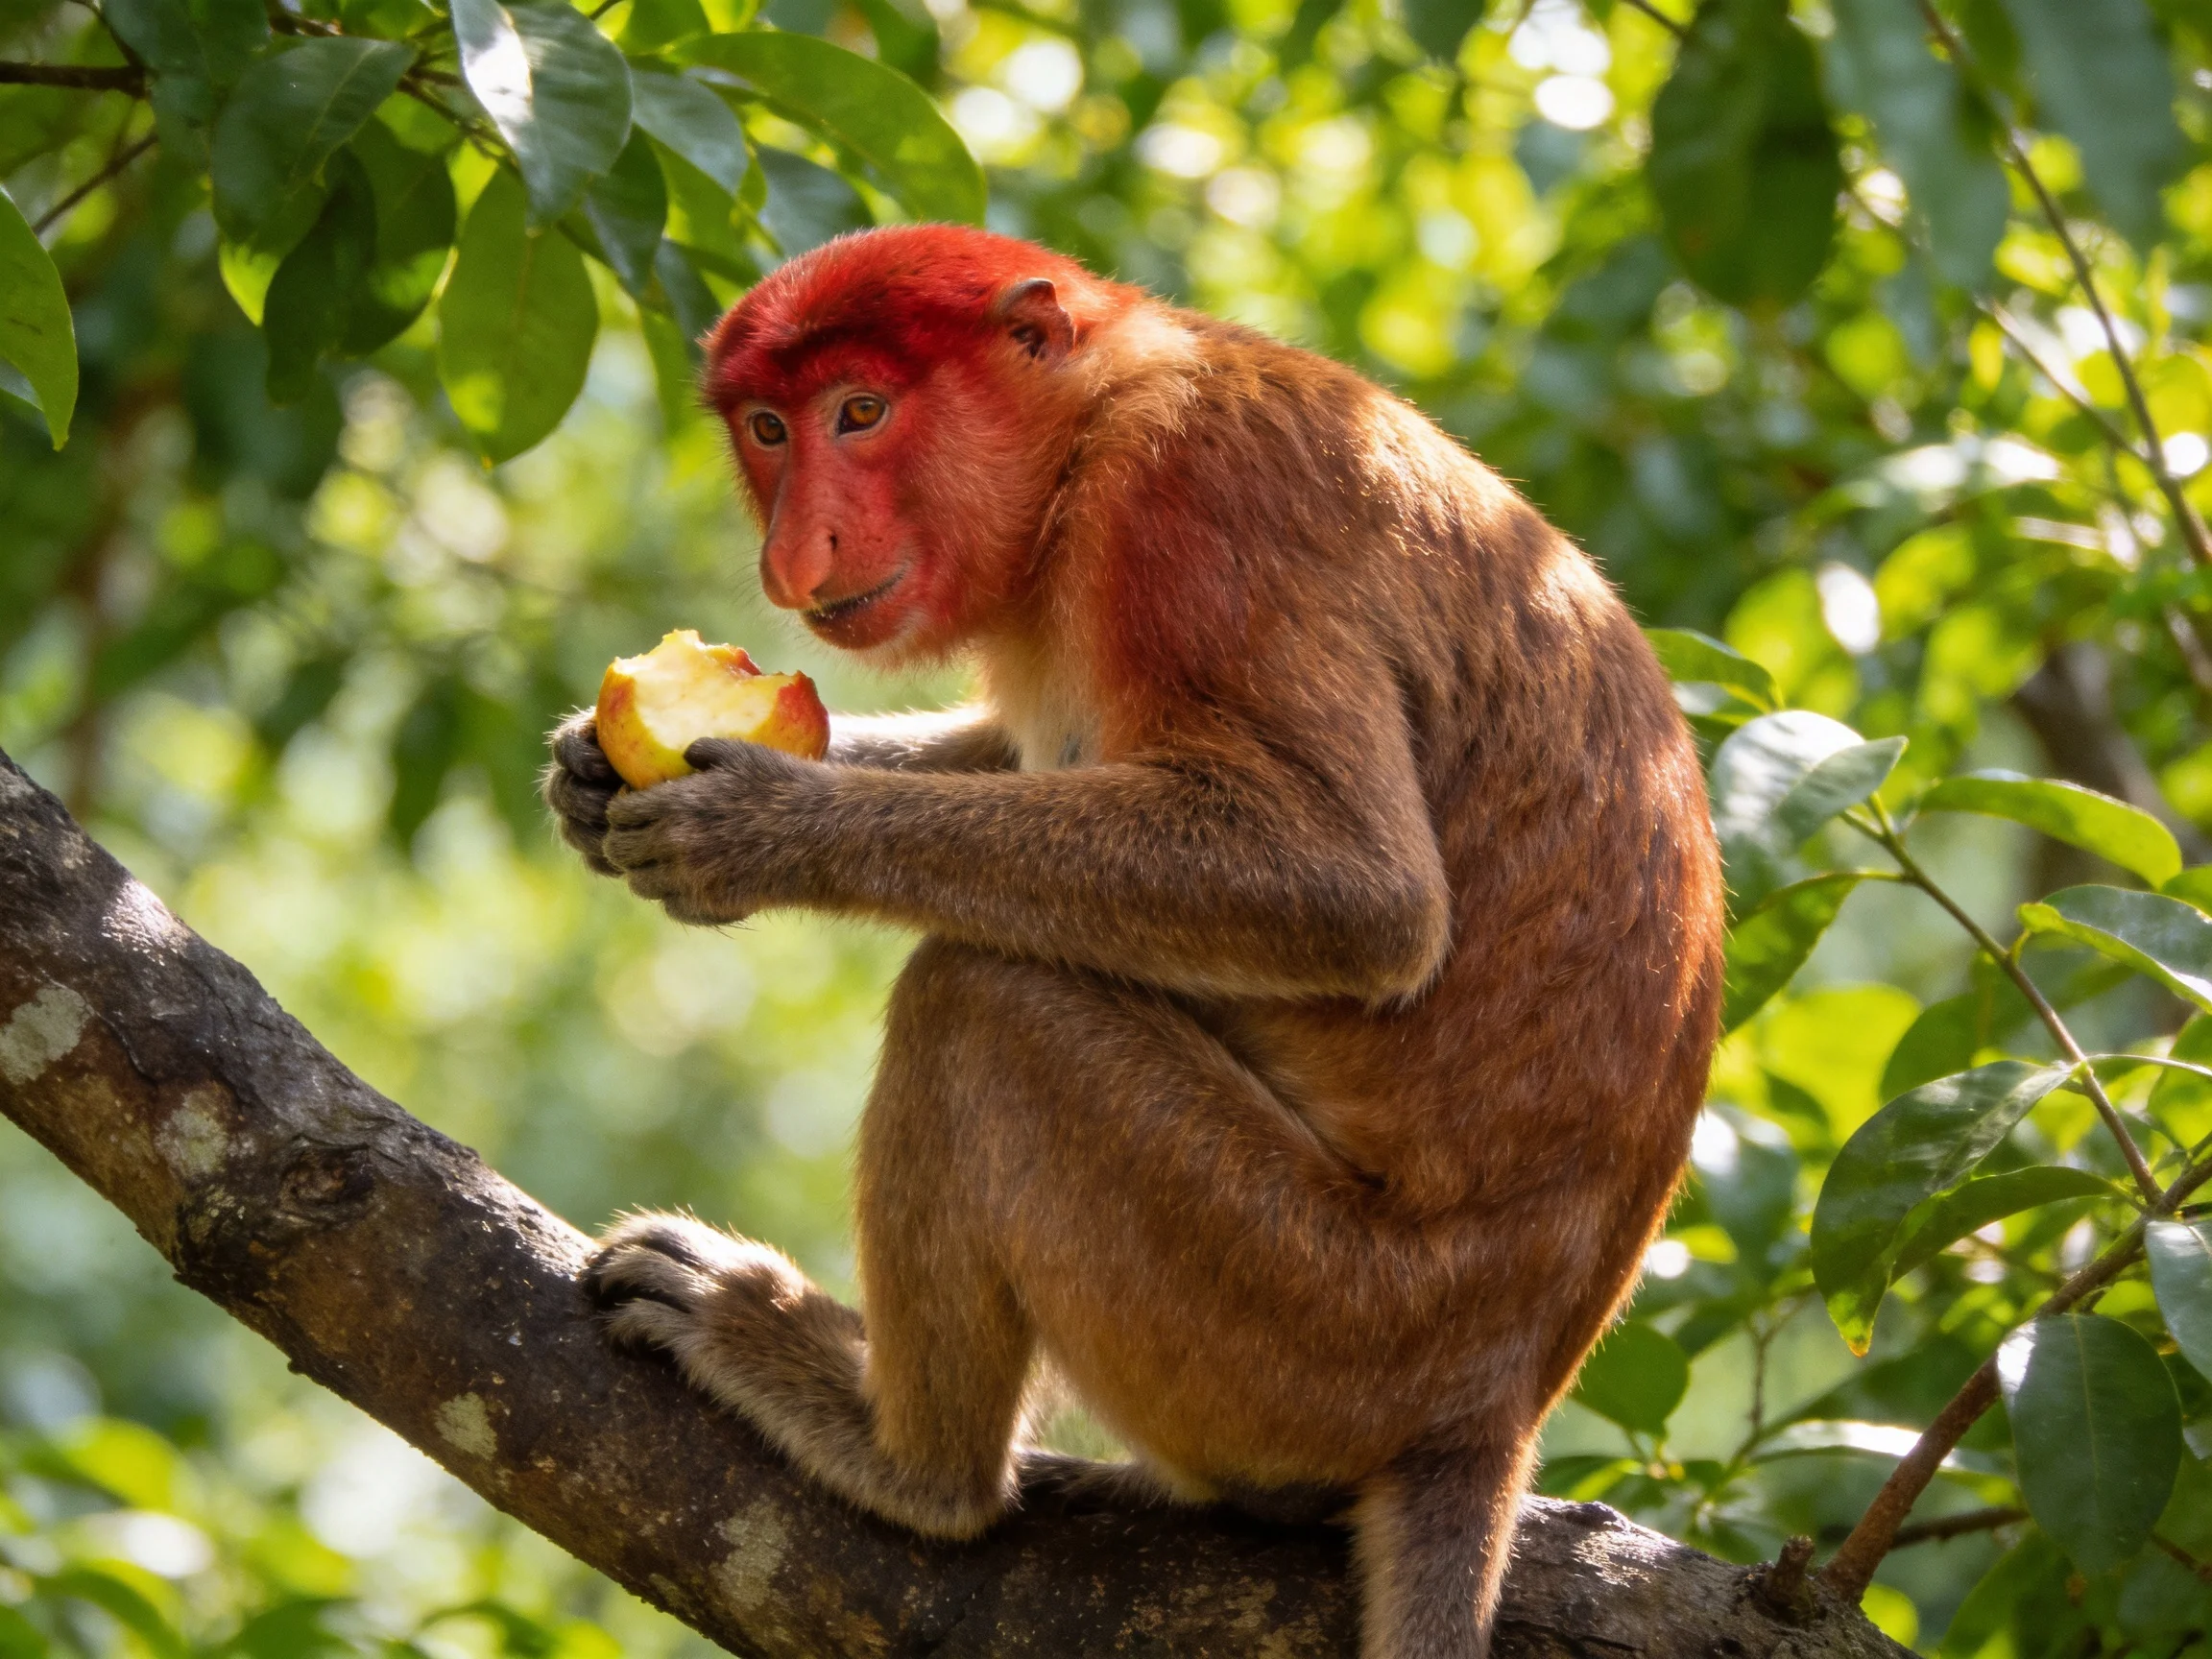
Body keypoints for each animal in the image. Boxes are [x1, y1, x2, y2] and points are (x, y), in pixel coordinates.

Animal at [542, 224, 1724, 1659]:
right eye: (770, 428)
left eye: (860, 412)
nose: (792, 556)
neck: (1088, 426)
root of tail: (1492, 1408)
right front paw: (589, 774)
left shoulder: (1190, 509)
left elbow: (1357, 887)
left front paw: (760, 827)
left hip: (1313, 1316)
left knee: (982, 1002)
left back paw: (900, 1453)